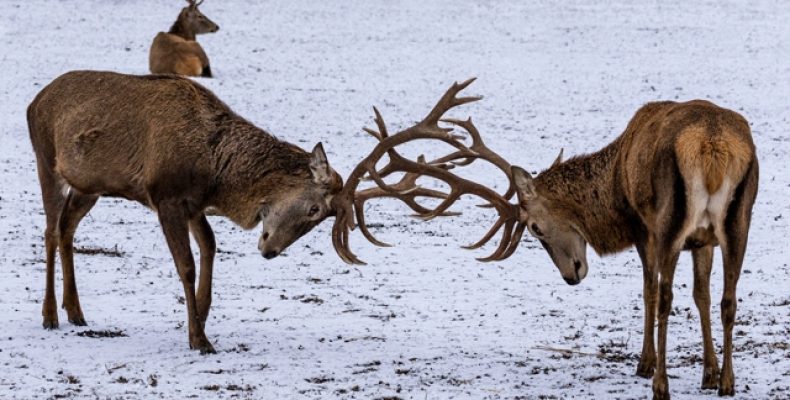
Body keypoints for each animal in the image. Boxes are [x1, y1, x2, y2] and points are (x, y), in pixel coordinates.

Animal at [336, 83, 760, 398]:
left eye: (536, 228)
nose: (571, 276)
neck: (614, 193)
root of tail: (713, 147)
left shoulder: (645, 228)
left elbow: (650, 292)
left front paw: (645, 363)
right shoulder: (702, 240)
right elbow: (702, 295)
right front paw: (708, 372)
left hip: (671, 219)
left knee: (667, 297)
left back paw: (661, 385)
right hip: (740, 219)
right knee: (729, 299)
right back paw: (728, 383)